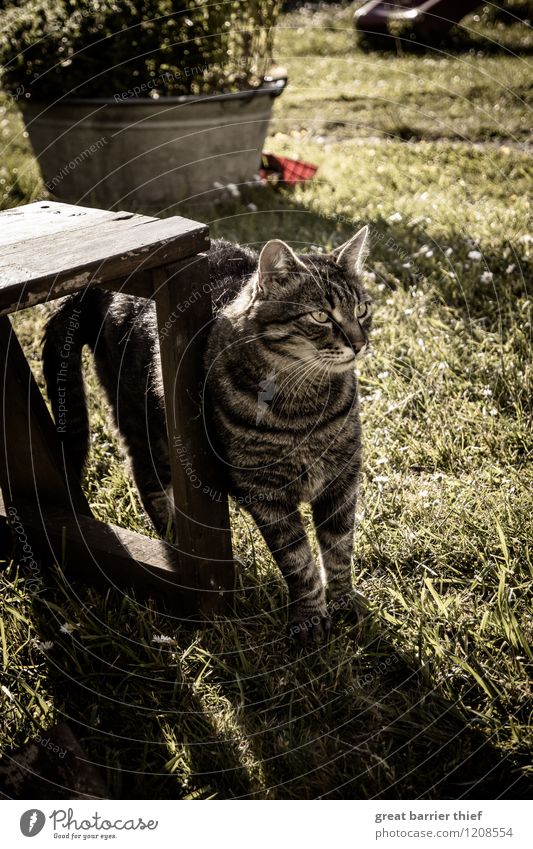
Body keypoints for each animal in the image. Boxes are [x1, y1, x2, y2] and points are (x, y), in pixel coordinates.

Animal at [43, 229, 372, 640]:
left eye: (362, 310)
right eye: (321, 316)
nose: (360, 343)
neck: (303, 410)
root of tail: (98, 287)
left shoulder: (342, 479)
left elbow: (338, 550)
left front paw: (344, 604)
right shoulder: (264, 492)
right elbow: (298, 560)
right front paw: (310, 616)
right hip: (147, 426)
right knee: (146, 477)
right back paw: (172, 537)